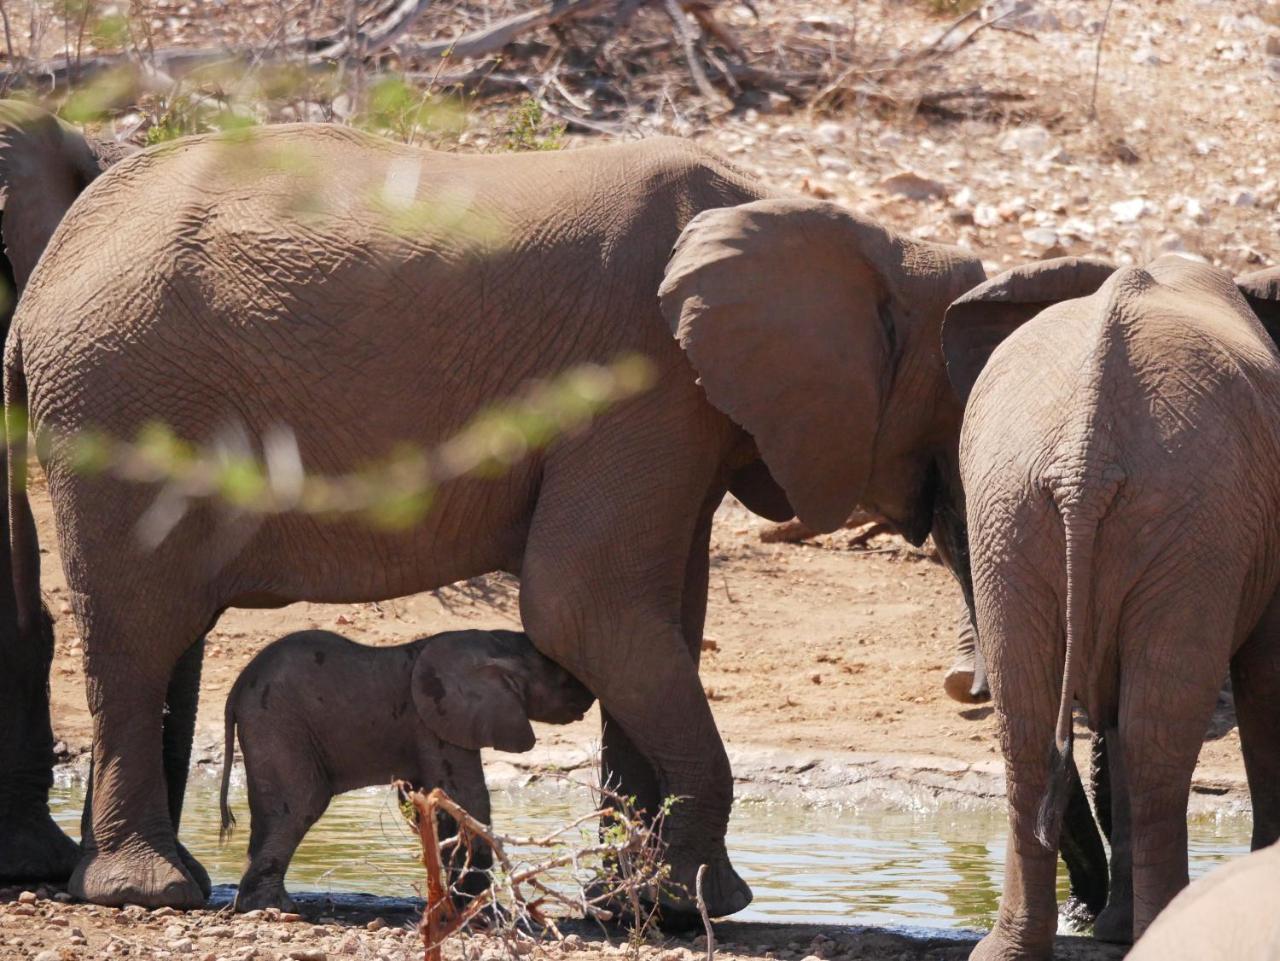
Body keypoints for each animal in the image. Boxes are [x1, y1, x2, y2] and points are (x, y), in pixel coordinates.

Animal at [220, 627, 593, 911]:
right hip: (277, 721)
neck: (491, 644)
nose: (589, 697)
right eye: (560, 673)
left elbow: (431, 805)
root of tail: (235, 690)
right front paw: (478, 907)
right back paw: (275, 907)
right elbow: (467, 798)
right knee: (298, 806)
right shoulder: (436, 720)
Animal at [942, 257, 1280, 961]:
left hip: (1013, 514)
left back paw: (1015, 949)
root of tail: (1083, 460)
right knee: (1155, 732)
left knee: (1035, 725)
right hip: (1187, 519)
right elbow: (1267, 674)